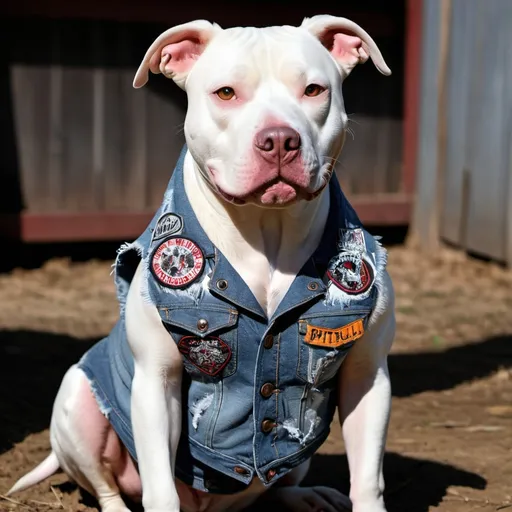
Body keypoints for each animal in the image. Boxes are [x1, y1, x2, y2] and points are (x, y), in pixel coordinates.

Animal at [8, 14, 396, 512]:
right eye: (226, 93)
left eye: (313, 90)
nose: (279, 140)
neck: (264, 232)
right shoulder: (156, 379)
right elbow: (159, 486)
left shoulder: (367, 375)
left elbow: (368, 478)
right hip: (78, 403)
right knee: (106, 484)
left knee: (280, 482)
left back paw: (307, 496)